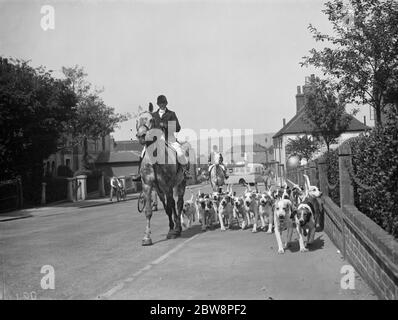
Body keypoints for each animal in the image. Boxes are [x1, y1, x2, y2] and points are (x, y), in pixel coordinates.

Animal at [135, 107, 188, 245]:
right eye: (137, 121)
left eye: (151, 119)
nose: (141, 136)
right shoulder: (148, 186)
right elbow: (150, 211)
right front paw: (147, 237)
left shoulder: (167, 185)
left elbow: (170, 207)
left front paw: (172, 231)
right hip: (160, 190)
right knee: (170, 204)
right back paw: (175, 227)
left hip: (180, 184)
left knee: (178, 203)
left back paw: (177, 228)